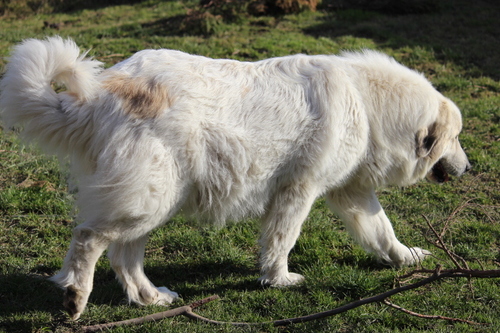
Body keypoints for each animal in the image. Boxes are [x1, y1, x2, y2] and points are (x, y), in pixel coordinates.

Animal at [0, 37, 468, 320]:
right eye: (457, 138)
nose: (468, 168)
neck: (368, 105)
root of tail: (102, 92)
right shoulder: (298, 191)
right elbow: (282, 239)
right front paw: (279, 280)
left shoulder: (351, 193)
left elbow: (382, 231)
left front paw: (406, 257)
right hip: (147, 201)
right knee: (89, 238)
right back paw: (76, 296)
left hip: (151, 203)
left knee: (124, 257)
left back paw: (150, 298)